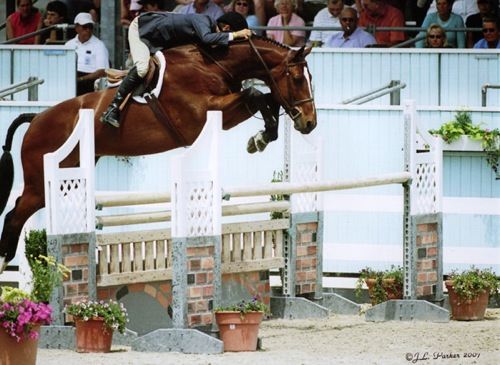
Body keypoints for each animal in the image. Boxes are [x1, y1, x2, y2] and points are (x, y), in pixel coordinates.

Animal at [0, 36, 316, 270]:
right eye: (298, 78)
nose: (309, 123)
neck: (213, 65)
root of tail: (36, 119)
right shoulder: (206, 113)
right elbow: (256, 94)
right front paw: (261, 137)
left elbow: (266, 98)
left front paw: (262, 137)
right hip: (40, 184)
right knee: (15, 213)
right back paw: (4, 262)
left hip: (70, 175)